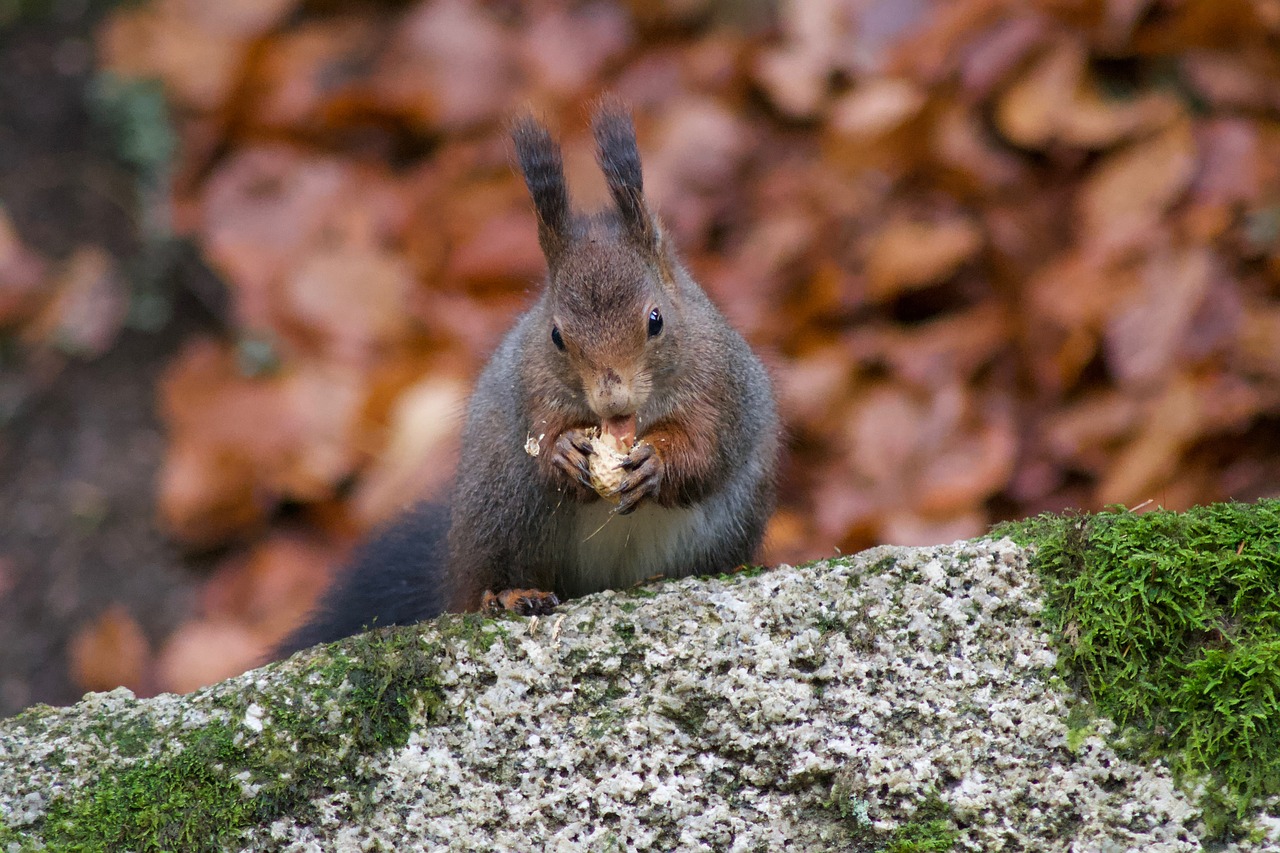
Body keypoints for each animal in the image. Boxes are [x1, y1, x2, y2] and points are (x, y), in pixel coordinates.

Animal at [275, 103, 778, 653]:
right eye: (556, 335)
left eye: (656, 319)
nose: (612, 401)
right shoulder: (530, 387)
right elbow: (541, 437)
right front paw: (563, 452)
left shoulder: (722, 385)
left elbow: (709, 448)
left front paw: (657, 463)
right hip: (503, 509)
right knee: (490, 576)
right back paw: (512, 594)